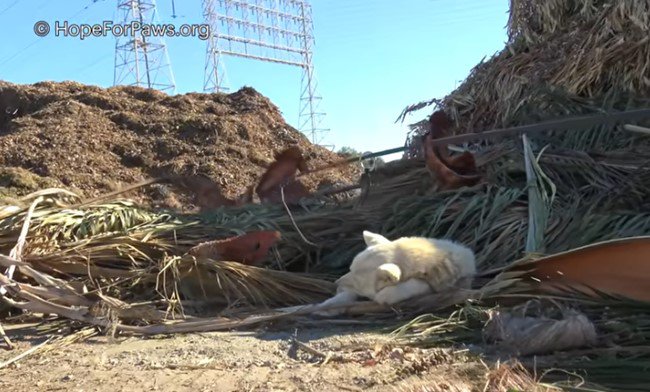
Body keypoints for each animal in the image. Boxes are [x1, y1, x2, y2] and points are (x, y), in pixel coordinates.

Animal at [316, 230, 476, 316]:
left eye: (357, 281)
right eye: (350, 268)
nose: (336, 283)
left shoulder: (453, 278)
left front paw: (386, 295)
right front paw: (327, 306)